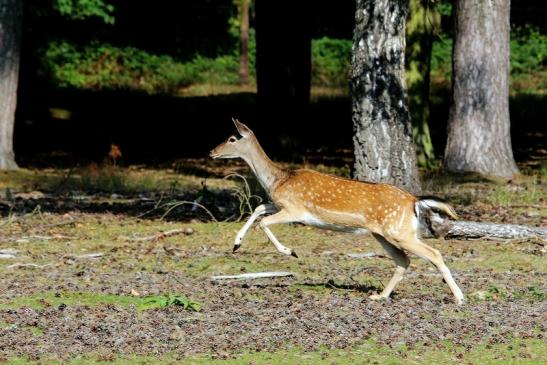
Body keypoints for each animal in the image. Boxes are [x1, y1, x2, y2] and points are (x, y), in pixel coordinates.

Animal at [210, 119, 466, 304]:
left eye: (232, 138)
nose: (212, 151)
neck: (279, 180)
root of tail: (413, 200)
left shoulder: (296, 210)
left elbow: (262, 221)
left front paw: (290, 251)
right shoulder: (280, 204)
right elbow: (258, 208)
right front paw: (236, 244)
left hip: (398, 231)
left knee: (434, 253)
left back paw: (459, 298)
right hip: (384, 233)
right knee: (403, 260)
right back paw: (380, 295)